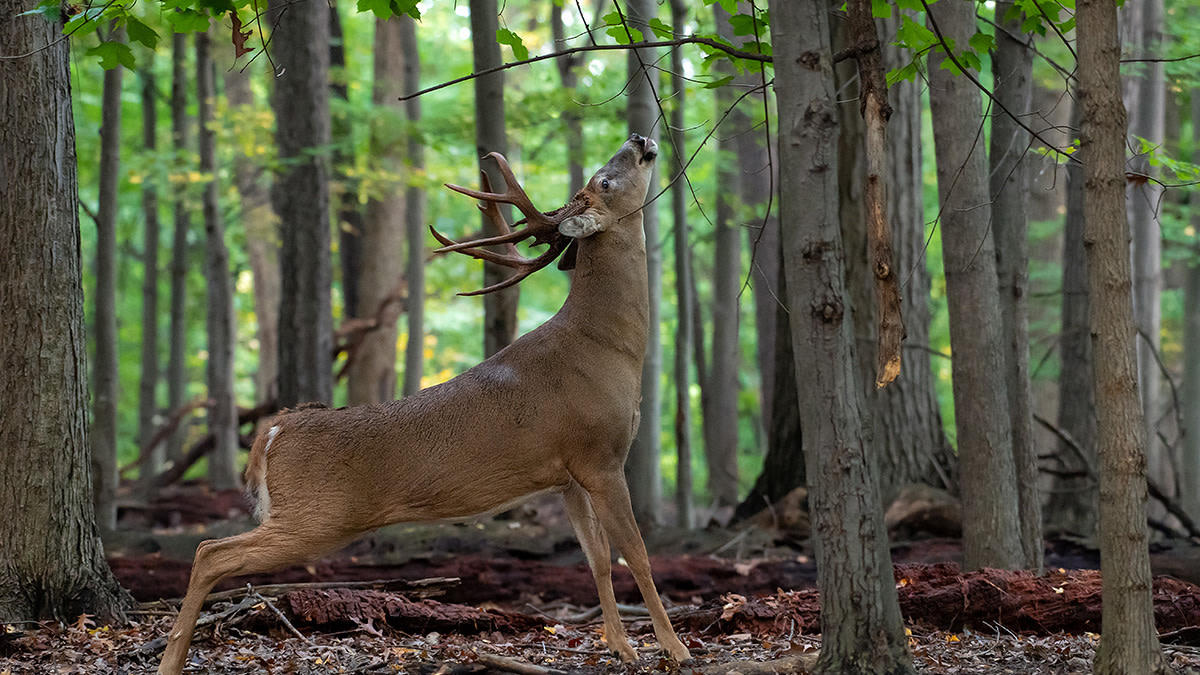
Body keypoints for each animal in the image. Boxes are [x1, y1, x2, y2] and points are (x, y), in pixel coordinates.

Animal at [157, 134, 692, 674]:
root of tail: (273, 430)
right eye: (604, 180)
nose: (639, 138)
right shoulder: (600, 455)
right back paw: (169, 660)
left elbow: (597, 557)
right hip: (318, 516)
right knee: (210, 551)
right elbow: (637, 552)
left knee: (208, 550)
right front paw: (674, 647)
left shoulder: (567, 474)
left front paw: (621, 647)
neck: (605, 346)